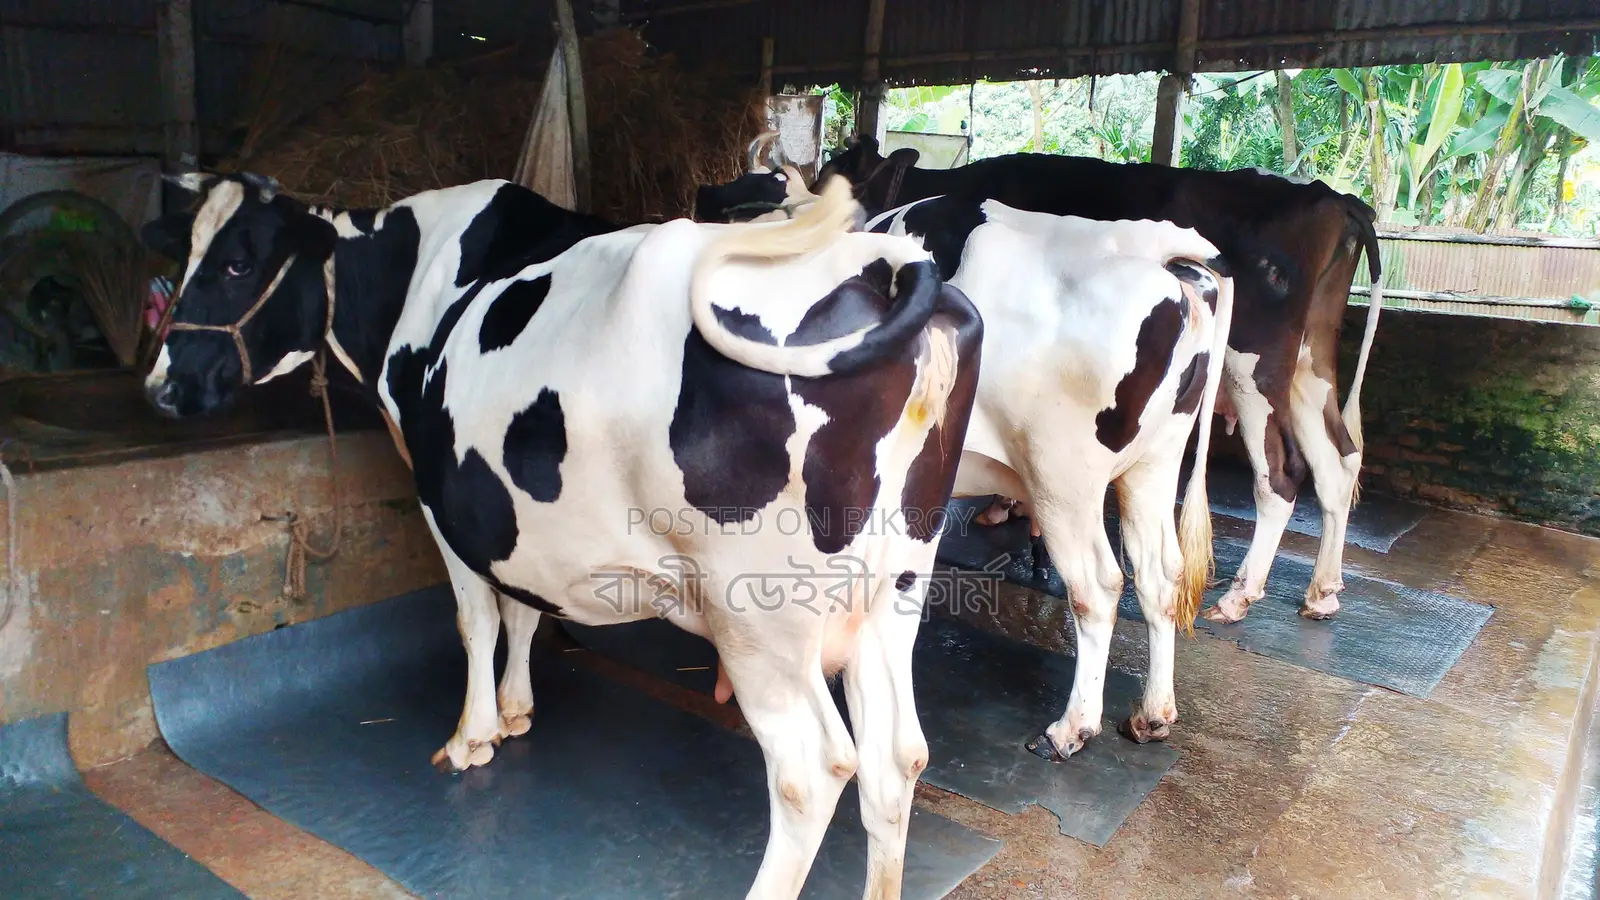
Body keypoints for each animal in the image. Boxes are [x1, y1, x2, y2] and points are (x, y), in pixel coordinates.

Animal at [138, 171, 983, 900]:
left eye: (238, 261)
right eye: (186, 254)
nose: (162, 386)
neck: (417, 279)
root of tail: (886, 262)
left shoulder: (444, 498)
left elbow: (477, 618)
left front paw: (473, 733)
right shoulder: (506, 510)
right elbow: (521, 604)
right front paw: (516, 710)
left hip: (761, 616)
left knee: (812, 771)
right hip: (892, 591)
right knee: (896, 757)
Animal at [817, 138, 1384, 624]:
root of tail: (1330, 197)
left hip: (1255, 367)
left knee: (1281, 472)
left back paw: (1241, 594)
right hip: (1310, 364)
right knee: (1338, 458)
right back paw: (1323, 589)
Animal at [861, 195, 1234, 758]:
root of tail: (1152, 244)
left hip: (1060, 476)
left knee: (1098, 586)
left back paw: (1071, 729)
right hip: (1154, 463)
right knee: (1158, 573)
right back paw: (1152, 715)